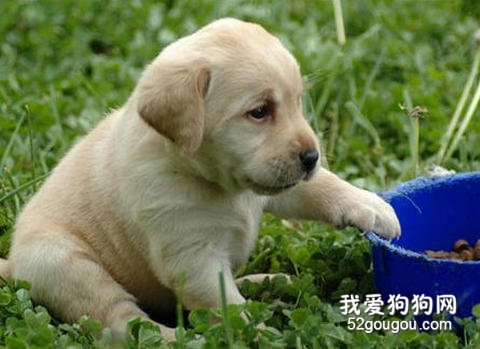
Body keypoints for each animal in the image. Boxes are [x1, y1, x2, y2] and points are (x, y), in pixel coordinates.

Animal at [0, 19, 402, 340]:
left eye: (298, 102)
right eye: (259, 112)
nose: (312, 157)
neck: (215, 182)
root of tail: (15, 265)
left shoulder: (275, 186)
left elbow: (320, 186)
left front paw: (372, 207)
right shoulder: (192, 256)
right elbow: (229, 309)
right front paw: (258, 334)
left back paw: (265, 282)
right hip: (64, 262)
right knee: (121, 321)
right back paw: (168, 337)